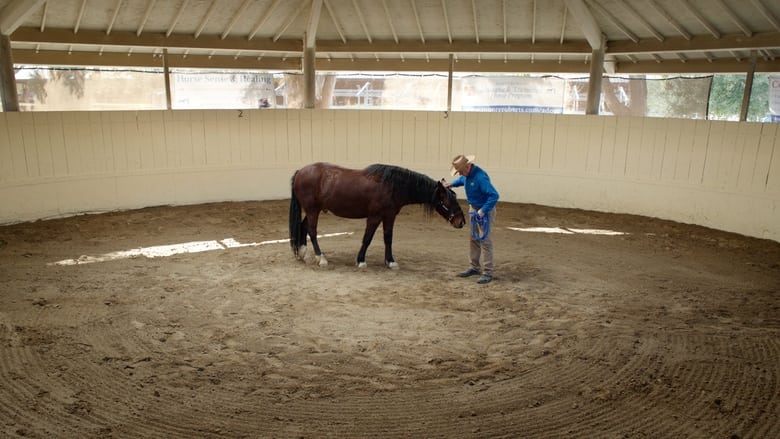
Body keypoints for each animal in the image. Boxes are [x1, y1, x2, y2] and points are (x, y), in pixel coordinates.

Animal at [290, 163, 464, 270]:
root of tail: (300, 171)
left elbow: (388, 238)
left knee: (304, 226)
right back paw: (321, 258)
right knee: (312, 231)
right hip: (312, 210)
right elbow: (367, 238)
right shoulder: (374, 217)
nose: (461, 222)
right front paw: (361, 260)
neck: (391, 186)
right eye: (447, 201)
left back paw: (303, 253)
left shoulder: (389, 216)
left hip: (314, 210)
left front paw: (390, 261)